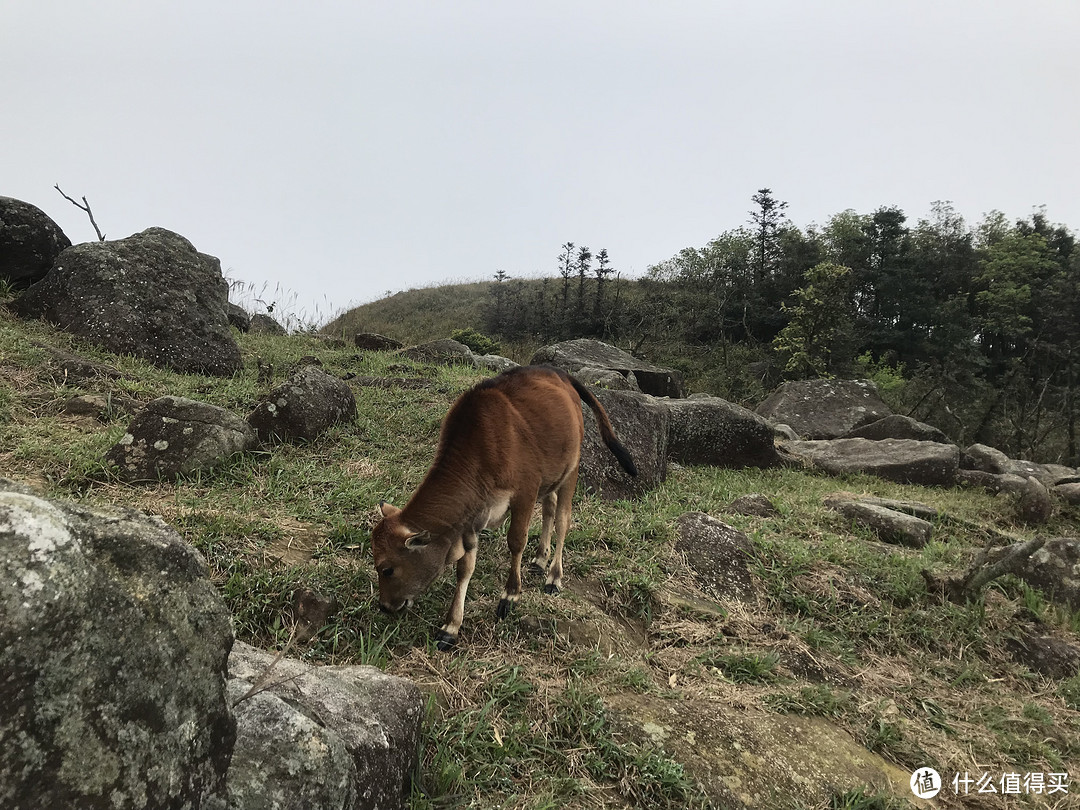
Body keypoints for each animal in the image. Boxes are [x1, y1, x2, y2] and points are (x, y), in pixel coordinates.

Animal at [373, 365, 635, 652]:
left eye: (387, 569)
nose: (384, 607)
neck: (480, 452)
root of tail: (559, 374)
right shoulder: (472, 517)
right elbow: (464, 568)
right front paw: (451, 627)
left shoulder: (525, 493)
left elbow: (516, 541)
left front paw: (510, 595)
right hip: (550, 478)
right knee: (550, 508)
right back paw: (540, 559)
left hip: (571, 468)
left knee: (563, 520)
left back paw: (554, 576)